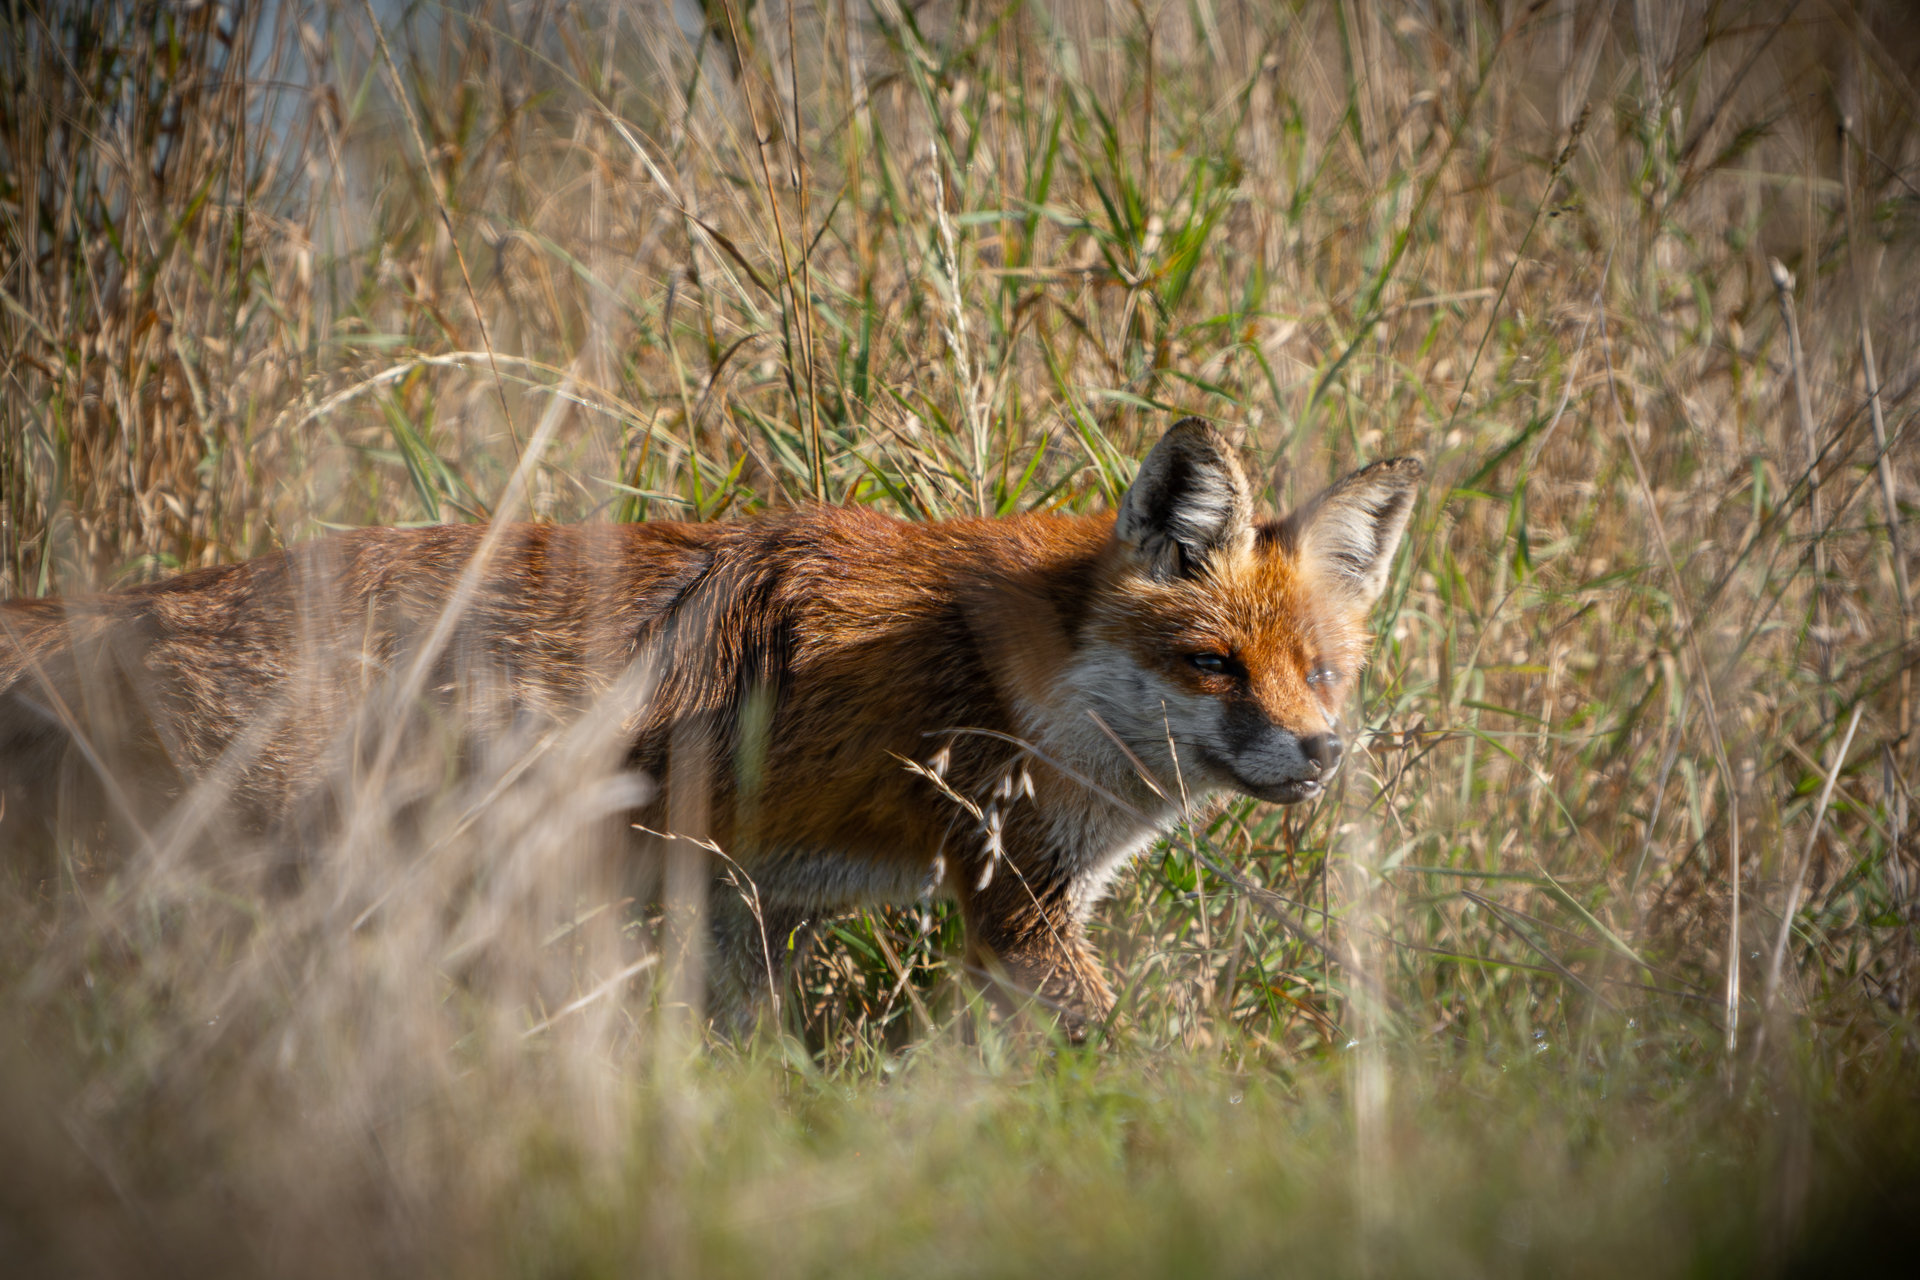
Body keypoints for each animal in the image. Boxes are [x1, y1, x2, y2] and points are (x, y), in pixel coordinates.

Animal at [0, 422, 1413, 1043]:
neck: (998, 666)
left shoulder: (752, 896)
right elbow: (1135, 1053)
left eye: (1321, 674)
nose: (1319, 754)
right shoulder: (1010, 893)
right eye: (1214, 664)